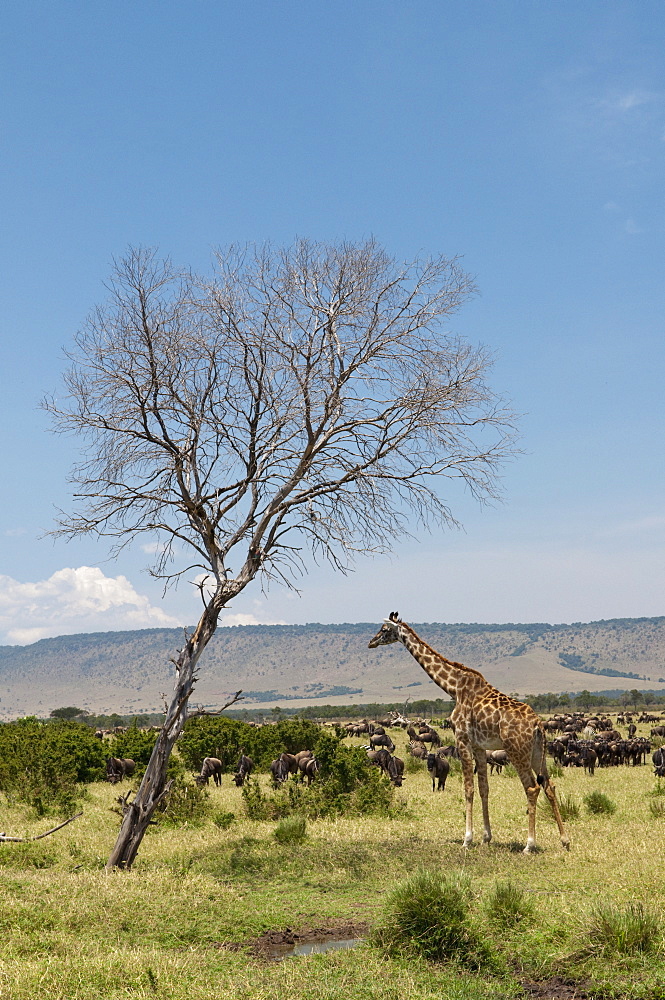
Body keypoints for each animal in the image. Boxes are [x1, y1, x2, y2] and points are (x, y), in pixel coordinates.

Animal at [366, 608, 568, 852]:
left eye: (384, 629)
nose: (371, 642)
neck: (454, 688)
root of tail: (538, 724)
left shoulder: (462, 739)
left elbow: (468, 788)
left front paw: (467, 839)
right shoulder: (480, 747)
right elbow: (483, 788)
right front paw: (486, 837)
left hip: (517, 750)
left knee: (531, 788)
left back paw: (529, 845)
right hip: (539, 751)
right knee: (549, 786)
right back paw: (565, 840)